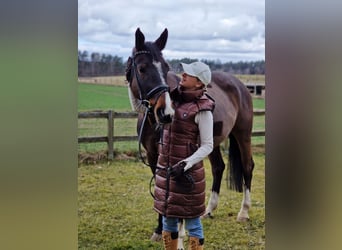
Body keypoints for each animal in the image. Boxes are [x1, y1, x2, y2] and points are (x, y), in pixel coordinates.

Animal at [125, 27, 254, 246]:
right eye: (142, 68)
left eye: (166, 67)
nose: (166, 113)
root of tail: (240, 85)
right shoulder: (153, 154)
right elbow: (160, 186)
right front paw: (160, 229)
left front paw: (179, 230)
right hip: (213, 142)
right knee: (219, 167)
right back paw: (208, 210)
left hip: (243, 135)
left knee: (247, 167)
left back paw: (243, 213)